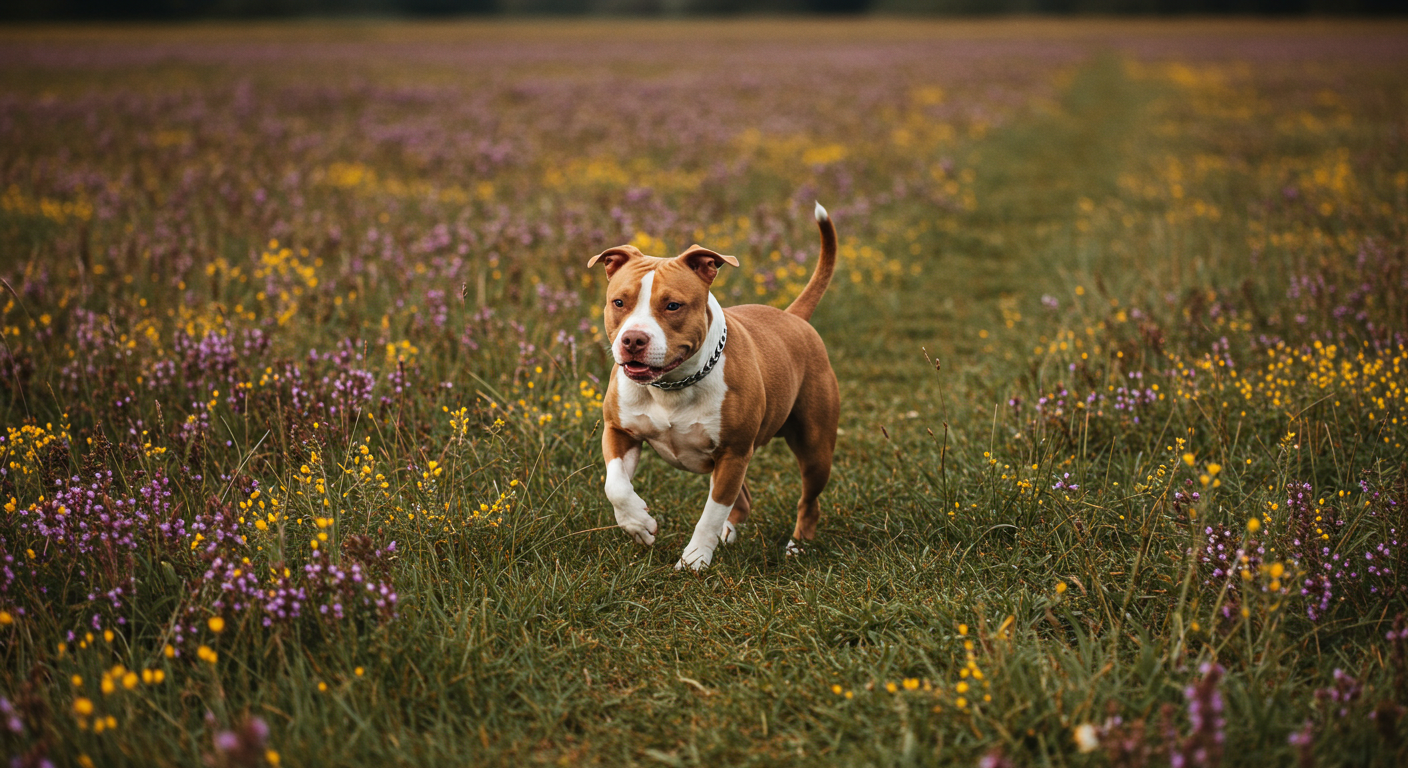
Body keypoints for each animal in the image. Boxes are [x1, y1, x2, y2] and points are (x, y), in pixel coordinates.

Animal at [582, 201, 833, 569]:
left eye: (673, 305)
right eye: (619, 302)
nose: (633, 340)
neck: (672, 386)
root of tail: (793, 316)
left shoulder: (733, 452)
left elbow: (711, 513)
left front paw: (695, 560)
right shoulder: (619, 431)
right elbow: (615, 485)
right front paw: (638, 524)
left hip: (814, 449)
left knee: (808, 501)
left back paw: (798, 546)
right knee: (743, 499)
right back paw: (728, 535)